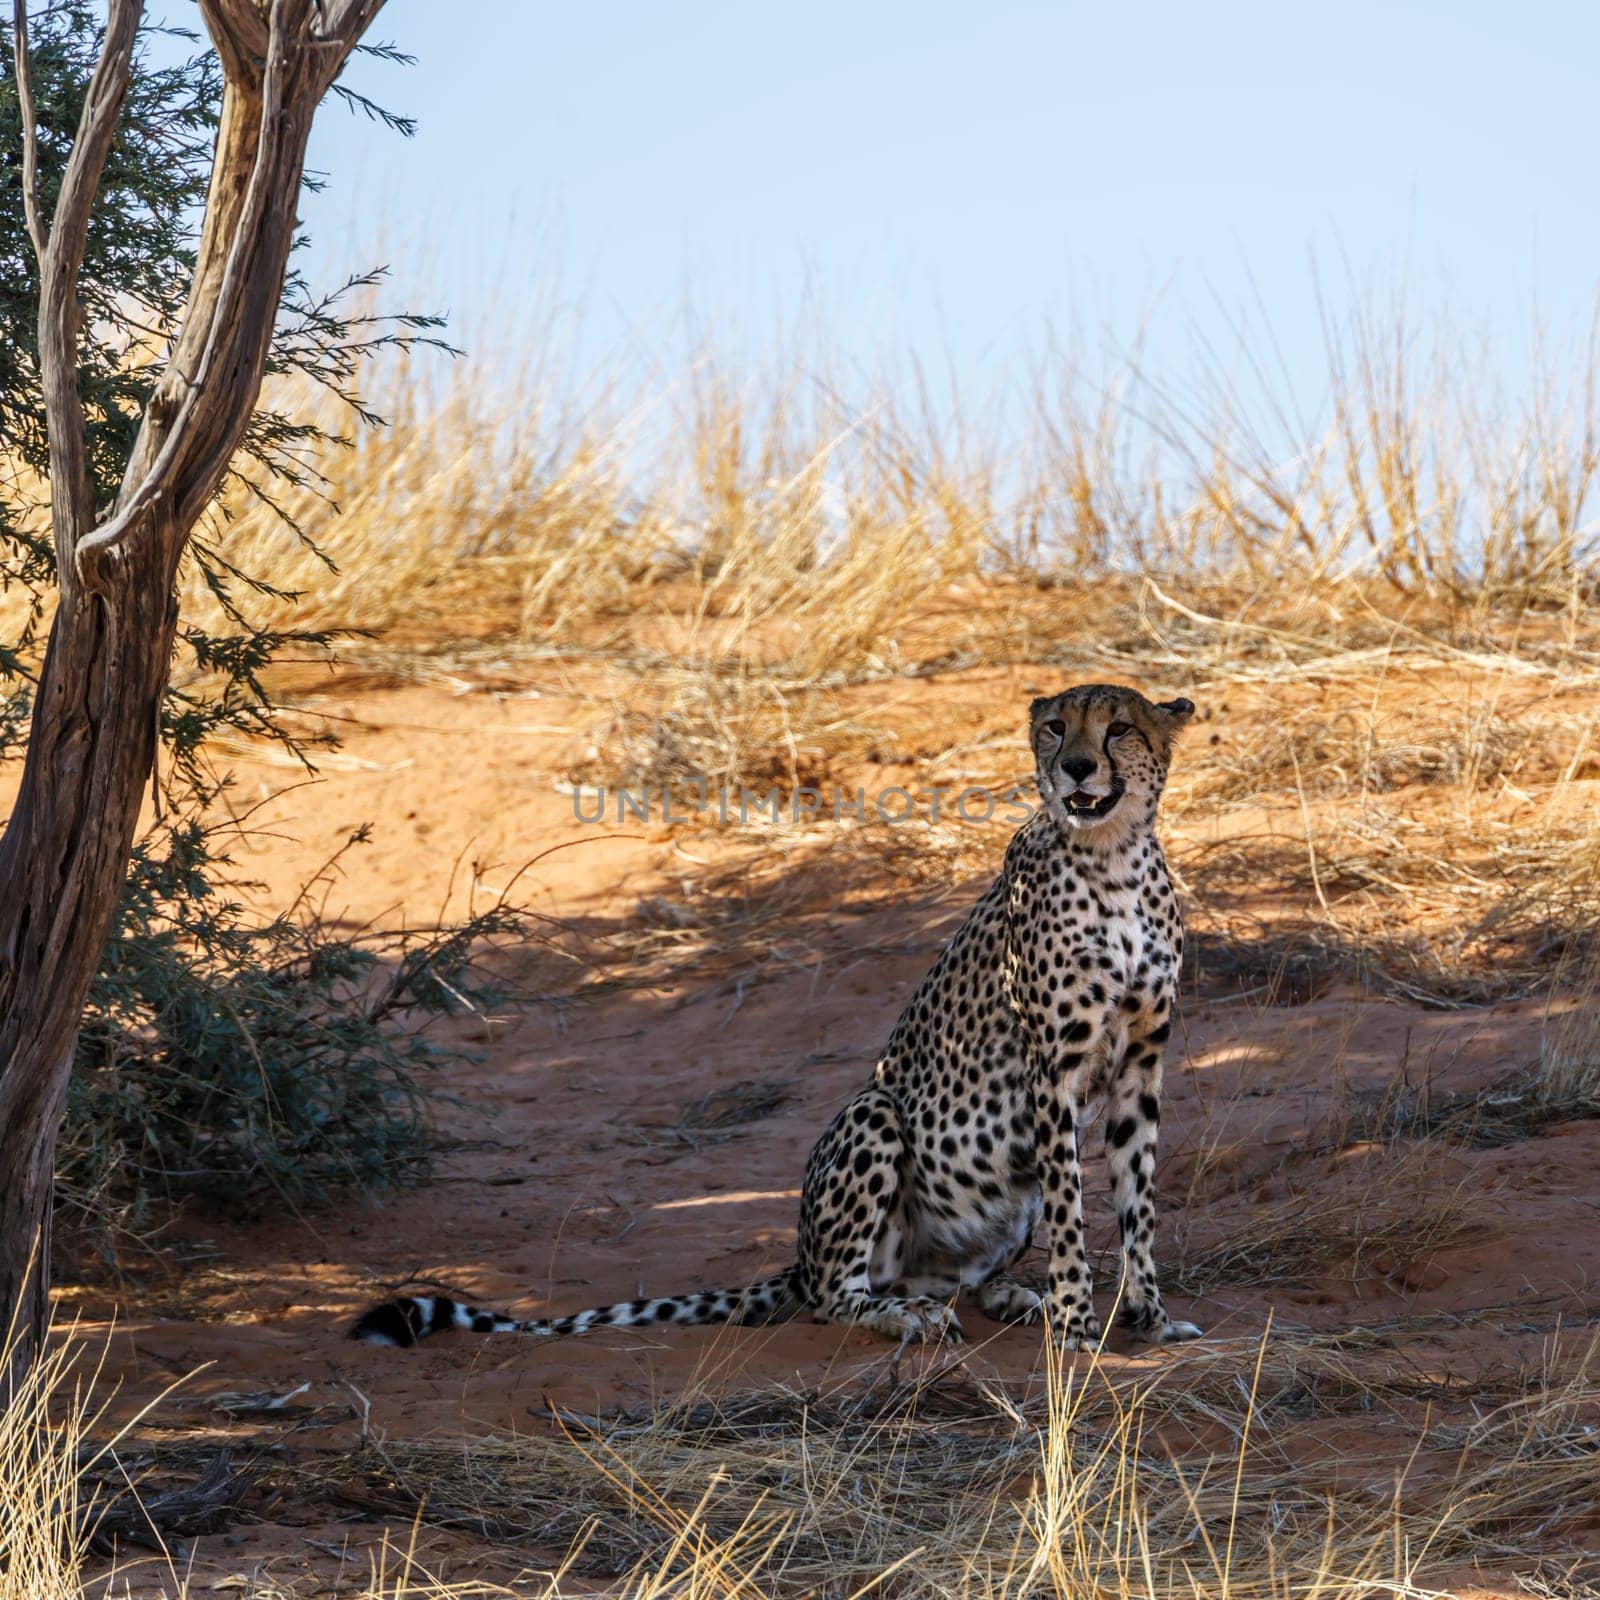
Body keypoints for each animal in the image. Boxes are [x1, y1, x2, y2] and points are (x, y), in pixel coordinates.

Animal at [350, 684, 1203, 1350]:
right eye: (1056, 727)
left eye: (1118, 728)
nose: (1075, 767)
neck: (1114, 858)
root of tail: (800, 1257)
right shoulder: (1052, 1070)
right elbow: (1072, 1208)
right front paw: (1077, 1321)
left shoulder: (1140, 1061)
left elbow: (1138, 1200)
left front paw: (1148, 1316)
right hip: (874, 1113)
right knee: (838, 1297)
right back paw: (912, 1317)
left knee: (952, 1279)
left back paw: (1007, 1295)